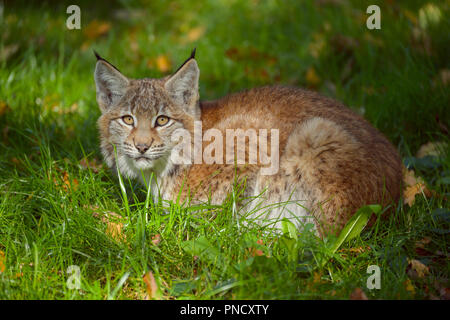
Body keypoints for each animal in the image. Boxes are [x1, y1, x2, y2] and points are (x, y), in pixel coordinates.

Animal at [93, 50, 402, 235]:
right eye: (128, 119)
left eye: (162, 120)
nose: (142, 146)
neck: (165, 168)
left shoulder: (251, 143)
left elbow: (231, 204)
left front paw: (216, 228)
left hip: (315, 132)